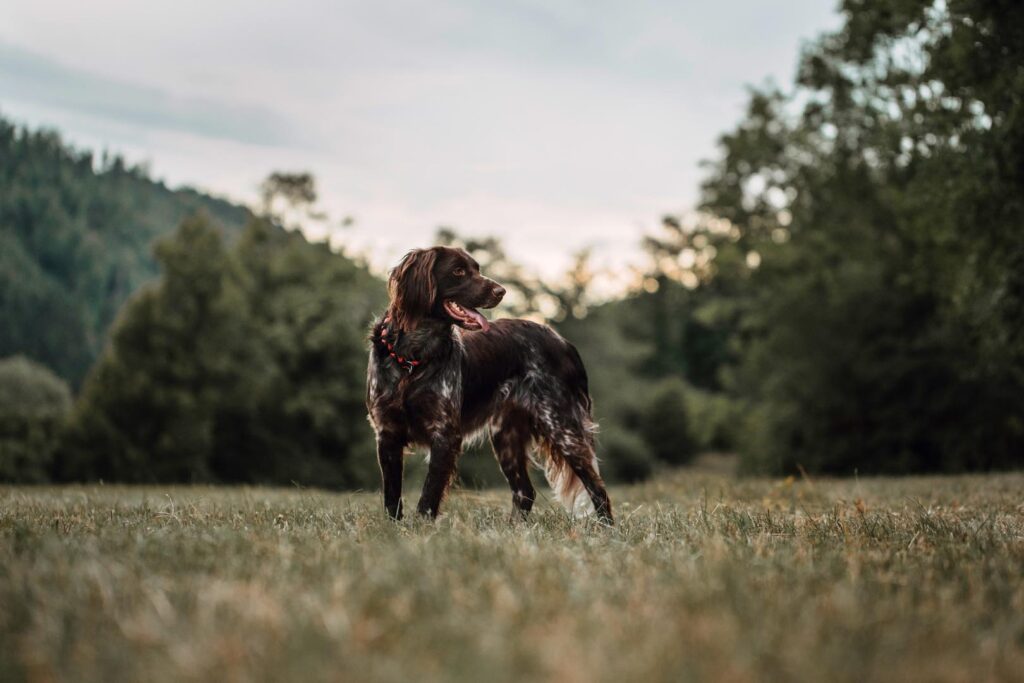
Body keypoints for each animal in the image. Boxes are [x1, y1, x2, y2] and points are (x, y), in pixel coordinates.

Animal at [366, 245, 610, 524]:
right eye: (458, 271)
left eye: (476, 268)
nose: (501, 291)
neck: (413, 357)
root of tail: (564, 342)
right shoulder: (387, 433)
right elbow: (392, 497)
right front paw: (394, 529)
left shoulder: (445, 434)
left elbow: (428, 496)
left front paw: (421, 529)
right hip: (506, 435)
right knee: (525, 492)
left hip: (562, 427)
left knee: (598, 489)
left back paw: (608, 531)